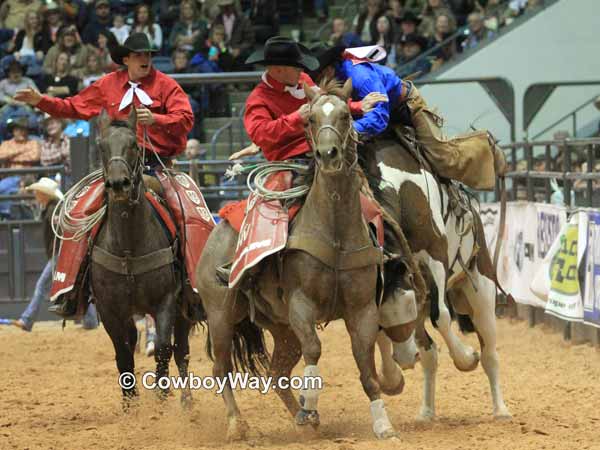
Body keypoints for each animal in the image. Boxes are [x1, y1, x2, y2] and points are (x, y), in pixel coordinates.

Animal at [89, 110, 195, 408]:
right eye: (101, 147)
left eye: (135, 145)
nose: (118, 184)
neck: (128, 247)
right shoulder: (109, 310)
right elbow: (123, 355)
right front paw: (131, 407)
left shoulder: (166, 301)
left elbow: (163, 349)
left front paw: (161, 402)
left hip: (184, 307)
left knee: (181, 350)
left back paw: (187, 402)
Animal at [197, 79, 404, 442]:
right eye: (310, 120)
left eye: (345, 116)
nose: (327, 154)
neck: (334, 231)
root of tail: (217, 226)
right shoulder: (300, 304)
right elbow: (315, 349)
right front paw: (311, 402)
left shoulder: (362, 308)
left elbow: (365, 365)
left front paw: (382, 424)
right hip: (222, 315)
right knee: (221, 367)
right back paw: (238, 423)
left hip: (280, 327)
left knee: (277, 373)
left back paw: (305, 418)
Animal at [358, 127, 512, 422]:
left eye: (408, 304)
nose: (406, 358)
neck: (404, 189)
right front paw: (391, 378)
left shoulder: (436, 257)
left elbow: (441, 316)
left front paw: (466, 358)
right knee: (430, 355)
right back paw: (426, 411)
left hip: (481, 288)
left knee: (490, 354)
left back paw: (501, 409)